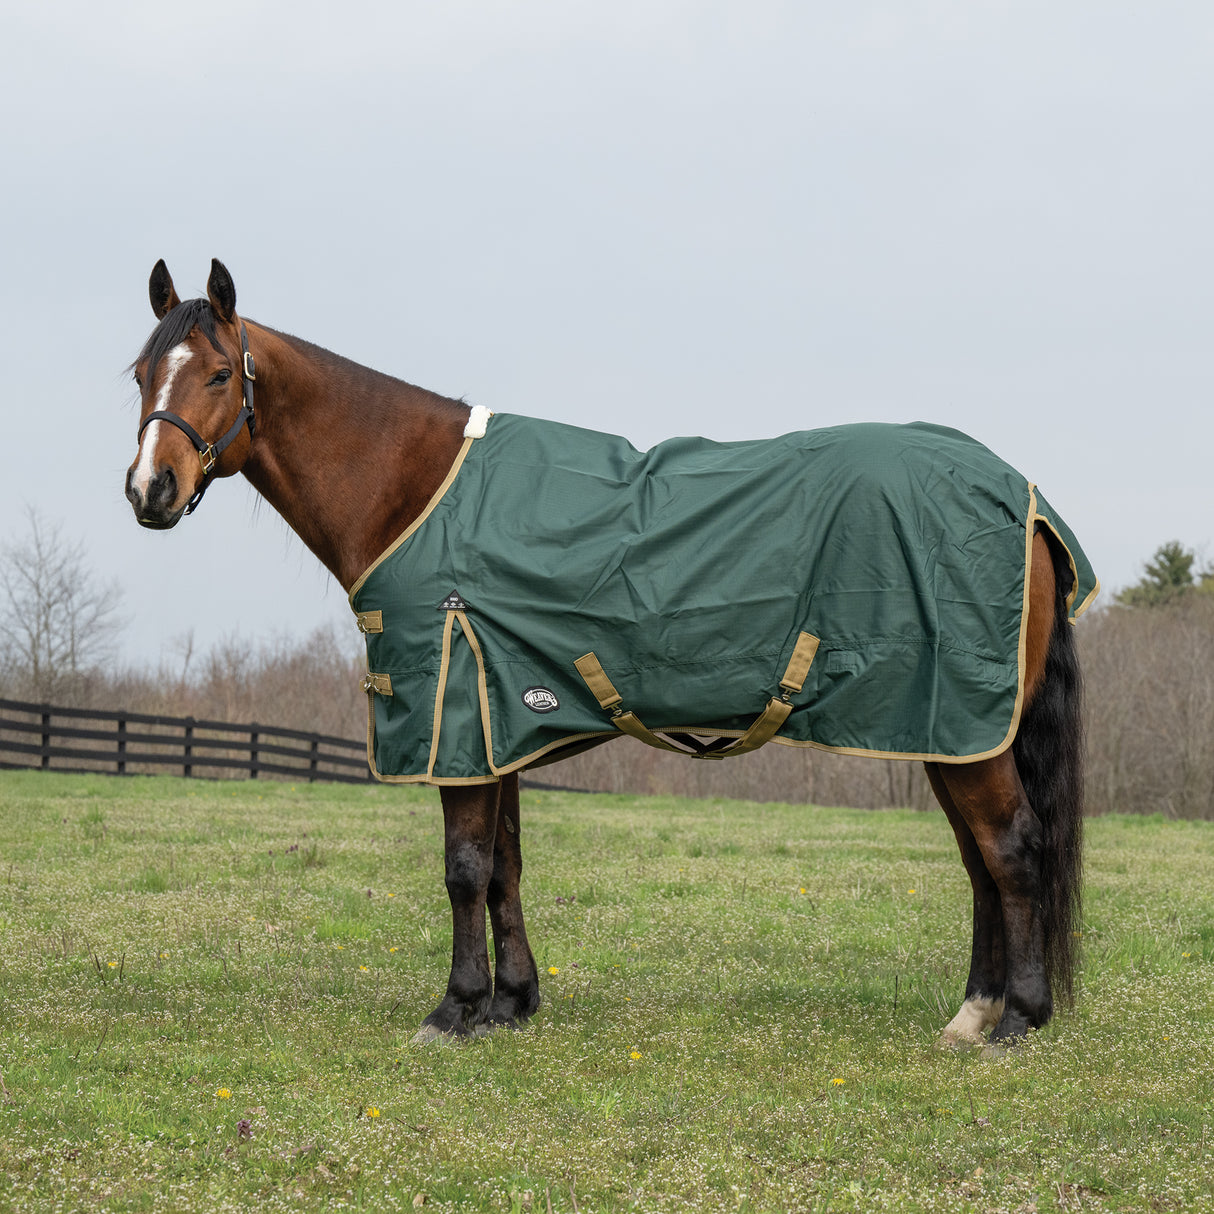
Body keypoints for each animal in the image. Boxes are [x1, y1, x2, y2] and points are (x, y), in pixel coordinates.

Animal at [124, 259, 1089, 1049]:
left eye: (219, 372)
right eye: (139, 374)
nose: (149, 492)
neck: (416, 489)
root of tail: (1023, 501)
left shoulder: (456, 719)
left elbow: (464, 869)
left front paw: (453, 1009)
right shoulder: (498, 724)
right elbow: (505, 865)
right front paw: (511, 1003)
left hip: (967, 730)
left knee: (1011, 849)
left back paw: (1018, 1020)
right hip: (945, 731)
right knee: (979, 861)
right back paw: (973, 1014)